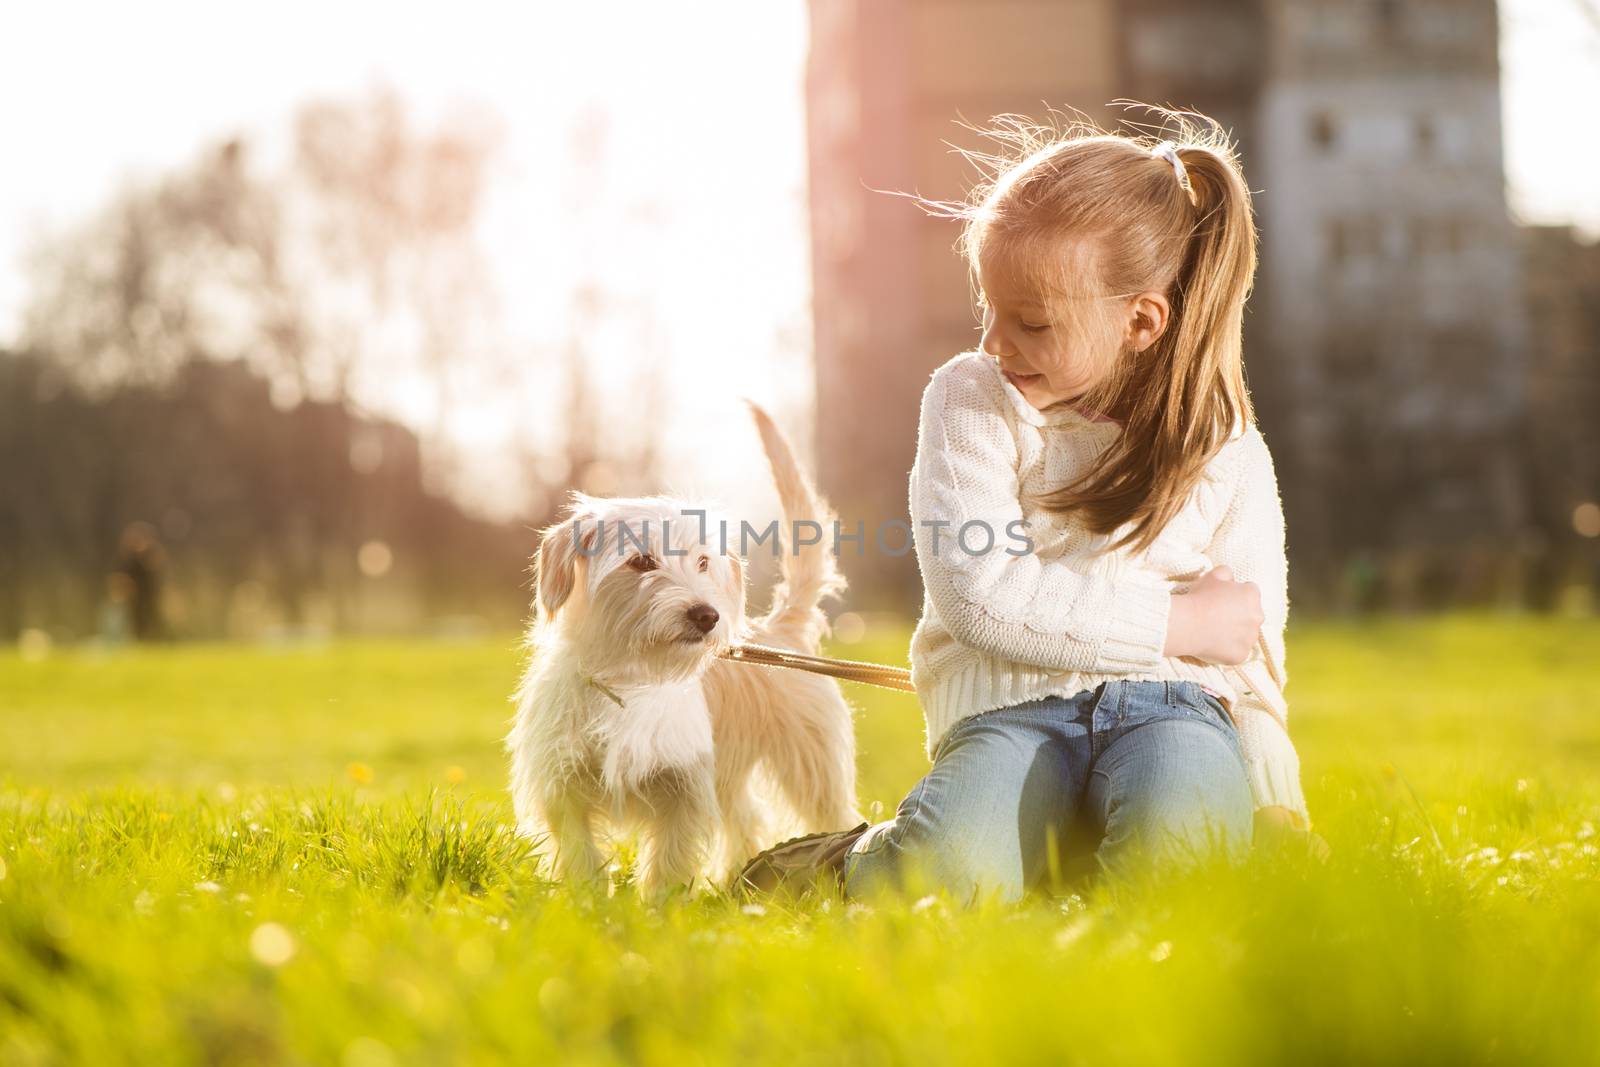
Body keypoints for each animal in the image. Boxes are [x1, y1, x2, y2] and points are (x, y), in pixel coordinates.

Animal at [508, 399, 864, 895]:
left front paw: (658, 910)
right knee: (748, 820)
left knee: (834, 818)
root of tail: (780, 629)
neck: (630, 677)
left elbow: (669, 863)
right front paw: (589, 904)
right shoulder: (564, 788)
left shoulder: (685, 790)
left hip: (813, 770)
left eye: (702, 562)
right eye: (641, 561)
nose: (707, 615)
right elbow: (580, 854)